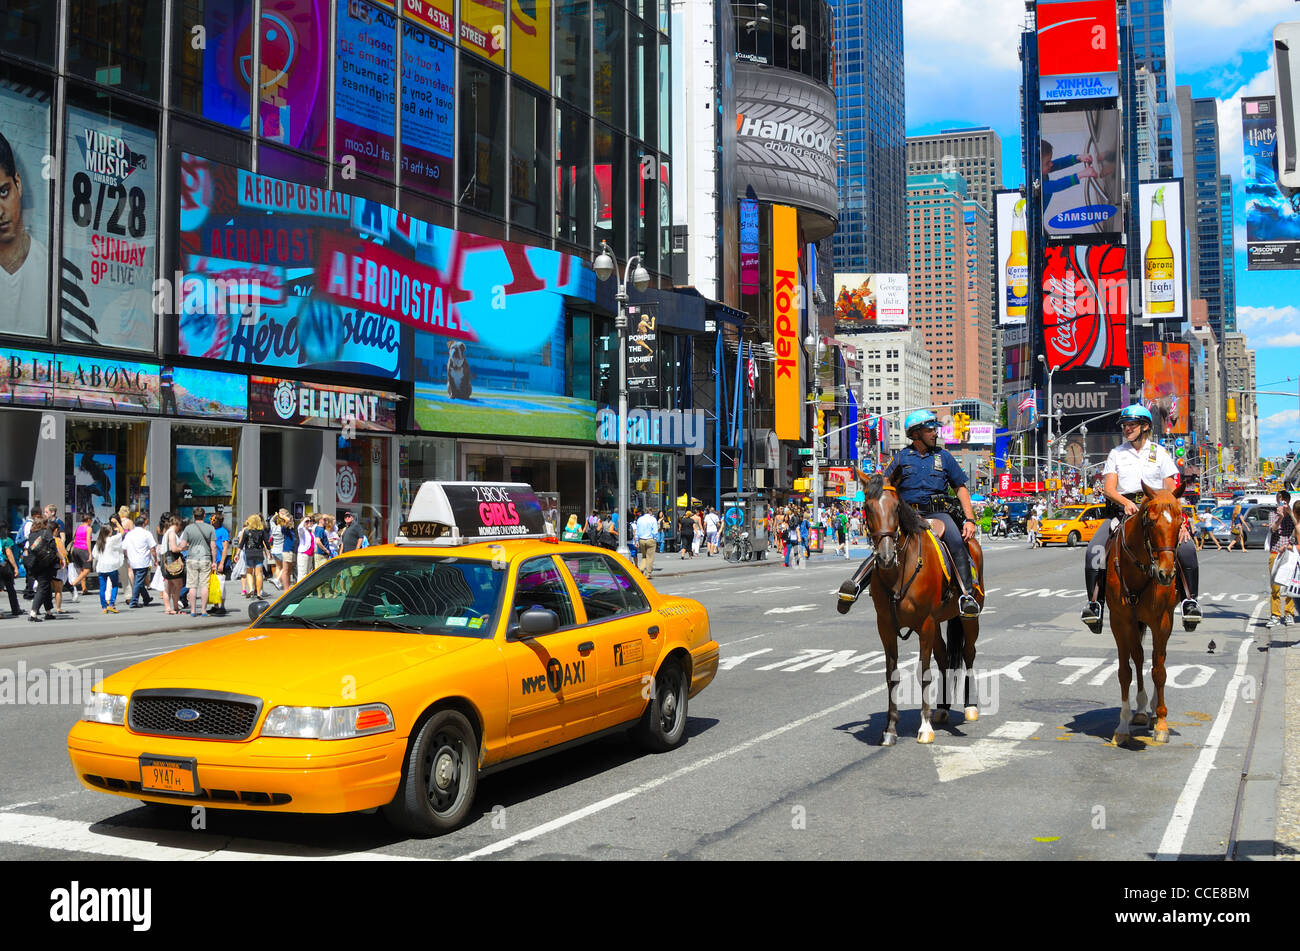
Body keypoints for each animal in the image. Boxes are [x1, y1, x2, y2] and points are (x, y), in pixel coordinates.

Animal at [863, 472, 982, 748]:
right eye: (867, 508)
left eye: (896, 507)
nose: (885, 557)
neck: (899, 570)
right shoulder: (885, 627)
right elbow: (892, 675)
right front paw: (890, 729)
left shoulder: (925, 623)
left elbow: (925, 674)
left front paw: (924, 727)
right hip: (937, 624)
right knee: (945, 658)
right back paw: (943, 708)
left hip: (968, 618)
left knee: (968, 653)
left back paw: (970, 707)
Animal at [1102, 483, 1185, 743]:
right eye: (1151, 522)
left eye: (1180, 522)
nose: (1166, 574)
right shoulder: (1119, 621)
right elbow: (1125, 671)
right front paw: (1122, 726)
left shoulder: (1162, 621)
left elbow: (1159, 671)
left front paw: (1162, 724)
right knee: (1138, 657)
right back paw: (1139, 710)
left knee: (1158, 658)